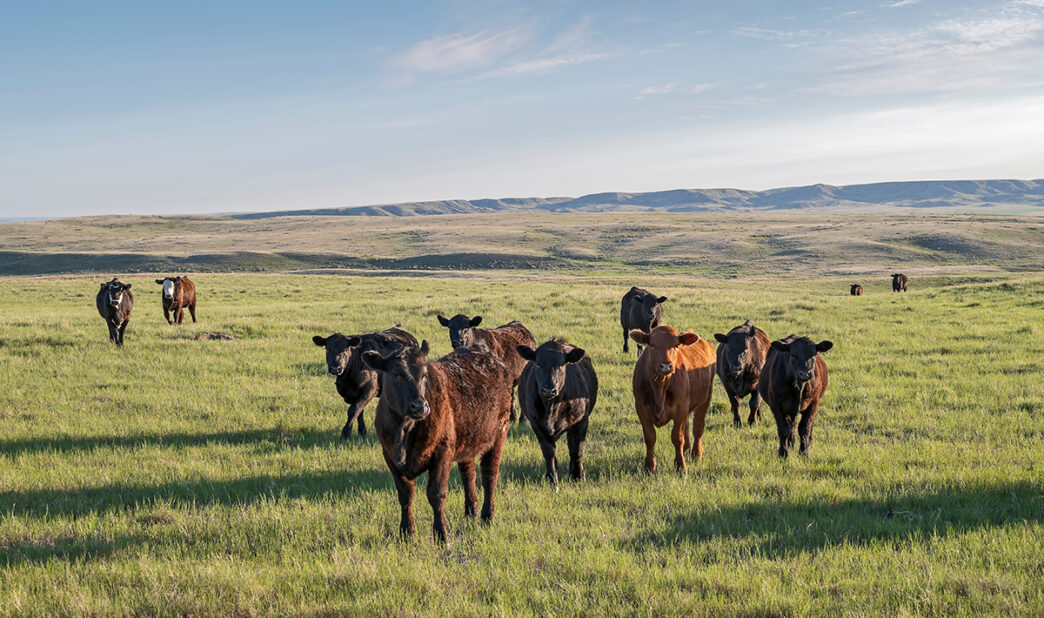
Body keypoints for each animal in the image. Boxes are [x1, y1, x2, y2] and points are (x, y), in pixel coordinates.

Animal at [362, 342, 513, 543]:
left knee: (490, 475)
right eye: (396, 374)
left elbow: (436, 494)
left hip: (499, 433)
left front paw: (442, 534)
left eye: (424, 375)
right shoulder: (390, 457)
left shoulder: (442, 451)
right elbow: (405, 495)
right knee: (469, 475)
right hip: (466, 439)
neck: (403, 430)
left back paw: (487, 516)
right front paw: (406, 532)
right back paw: (470, 512)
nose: (419, 406)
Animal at [516, 339, 598, 488]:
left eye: (561, 364)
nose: (549, 390)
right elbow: (548, 451)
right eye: (538, 364)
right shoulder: (536, 424)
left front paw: (578, 476)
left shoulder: (581, 422)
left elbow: (577, 449)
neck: (552, 408)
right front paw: (551, 478)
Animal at [629, 325, 715, 473]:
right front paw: (649, 466)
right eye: (652, 345)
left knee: (698, 427)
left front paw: (680, 466)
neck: (659, 389)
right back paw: (686, 449)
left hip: (705, 398)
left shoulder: (680, 408)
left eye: (675, 345)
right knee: (687, 426)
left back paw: (696, 453)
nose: (666, 366)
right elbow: (650, 437)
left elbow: (677, 437)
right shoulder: (640, 407)